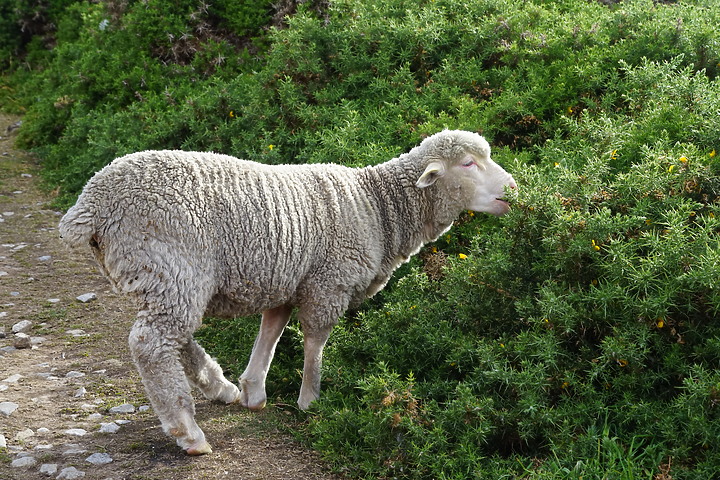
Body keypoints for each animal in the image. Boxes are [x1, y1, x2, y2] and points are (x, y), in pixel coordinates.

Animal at [56, 130, 516, 454]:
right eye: (469, 163)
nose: (512, 189)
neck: (378, 208)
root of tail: (91, 203)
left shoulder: (289, 280)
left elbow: (271, 332)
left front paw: (254, 391)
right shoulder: (329, 282)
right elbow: (315, 341)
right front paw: (310, 401)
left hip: (163, 278)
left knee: (174, 336)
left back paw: (219, 387)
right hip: (171, 264)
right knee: (152, 344)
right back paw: (188, 432)